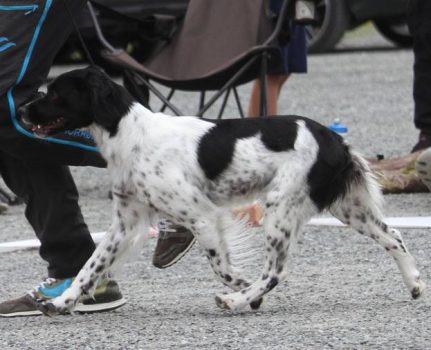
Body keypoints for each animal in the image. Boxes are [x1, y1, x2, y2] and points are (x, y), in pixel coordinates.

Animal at [22, 66, 426, 314]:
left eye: (54, 94)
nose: (22, 109)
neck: (130, 134)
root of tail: (334, 139)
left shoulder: (201, 215)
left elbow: (223, 267)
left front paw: (243, 293)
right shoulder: (125, 224)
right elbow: (90, 267)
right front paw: (61, 303)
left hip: (280, 208)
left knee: (275, 272)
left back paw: (235, 301)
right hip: (347, 208)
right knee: (395, 236)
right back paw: (415, 284)